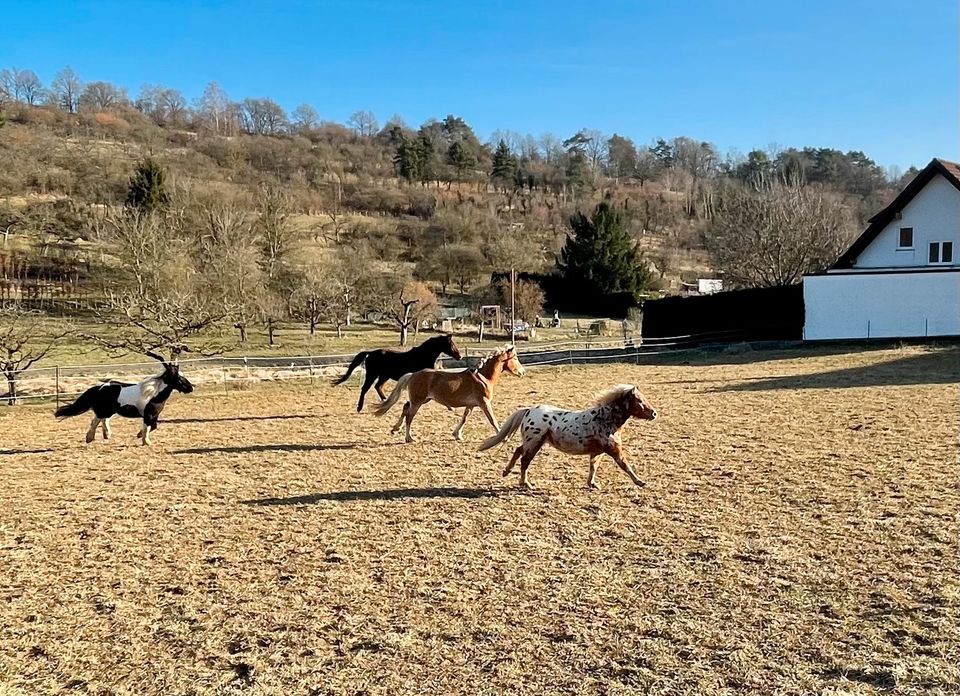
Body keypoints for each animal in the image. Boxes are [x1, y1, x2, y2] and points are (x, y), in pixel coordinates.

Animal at [54, 354, 195, 446]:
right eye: (179, 378)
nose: (191, 388)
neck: (153, 394)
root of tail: (100, 387)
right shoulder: (148, 415)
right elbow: (148, 426)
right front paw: (145, 441)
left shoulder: (154, 415)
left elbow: (153, 427)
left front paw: (140, 436)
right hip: (104, 410)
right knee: (96, 421)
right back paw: (90, 438)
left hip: (109, 411)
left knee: (103, 420)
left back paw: (106, 435)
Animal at [334, 334, 462, 410]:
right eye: (451, 344)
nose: (459, 356)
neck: (423, 355)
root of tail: (370, 353)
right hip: (372, 374)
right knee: (365, 388)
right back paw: (360, 407)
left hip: (384, 376)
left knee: (378, 386)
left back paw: (385, 401)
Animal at [376, 346, 524, 444]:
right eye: (515, 358)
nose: (522, 372)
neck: (483, 378)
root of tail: (413, 375)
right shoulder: (484, 403)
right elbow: (492, 419)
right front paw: (503, 436)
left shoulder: (471, 405)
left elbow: (464, 418)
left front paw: (457, 435)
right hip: (418, 402)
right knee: (409, 416)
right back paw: (409, 438)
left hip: (422, 400)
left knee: (406, 408)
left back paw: (395, 429)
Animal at [476, 384, 656, 492]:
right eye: (639, 400)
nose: (654, 414)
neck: (605, 419)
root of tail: (529, 410)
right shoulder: (613, 449)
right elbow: (625, 465)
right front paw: (640, 482)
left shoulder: (597, 452)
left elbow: (593, 467)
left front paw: (592, 484)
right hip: (534, 442)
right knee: (524, 460)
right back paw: (525, 484)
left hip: (532, 442)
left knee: (518, 451)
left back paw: (507, 472)